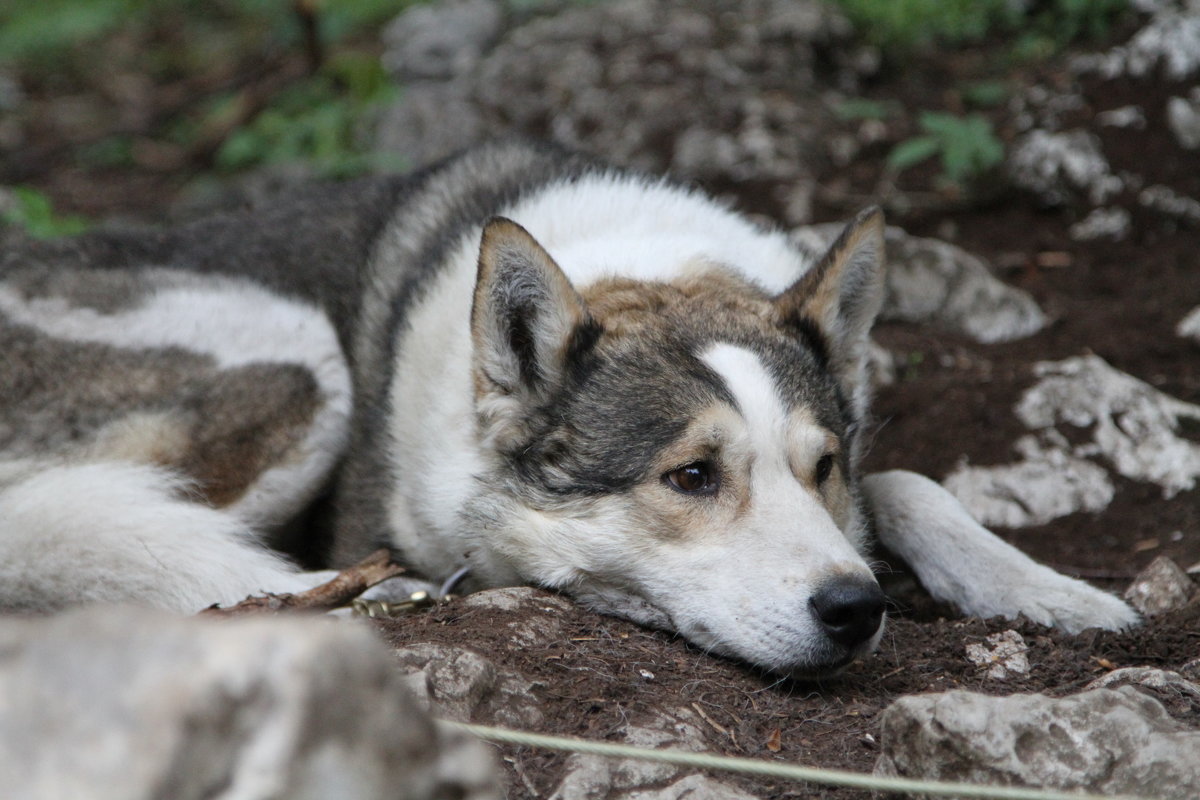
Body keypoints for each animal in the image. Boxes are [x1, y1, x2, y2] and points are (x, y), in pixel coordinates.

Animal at [0, 139, 1137, 676]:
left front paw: (1049, 590)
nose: (856, 610)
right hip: (300, 359)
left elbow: (906, 482)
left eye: (821, 467)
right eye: (691, 476)